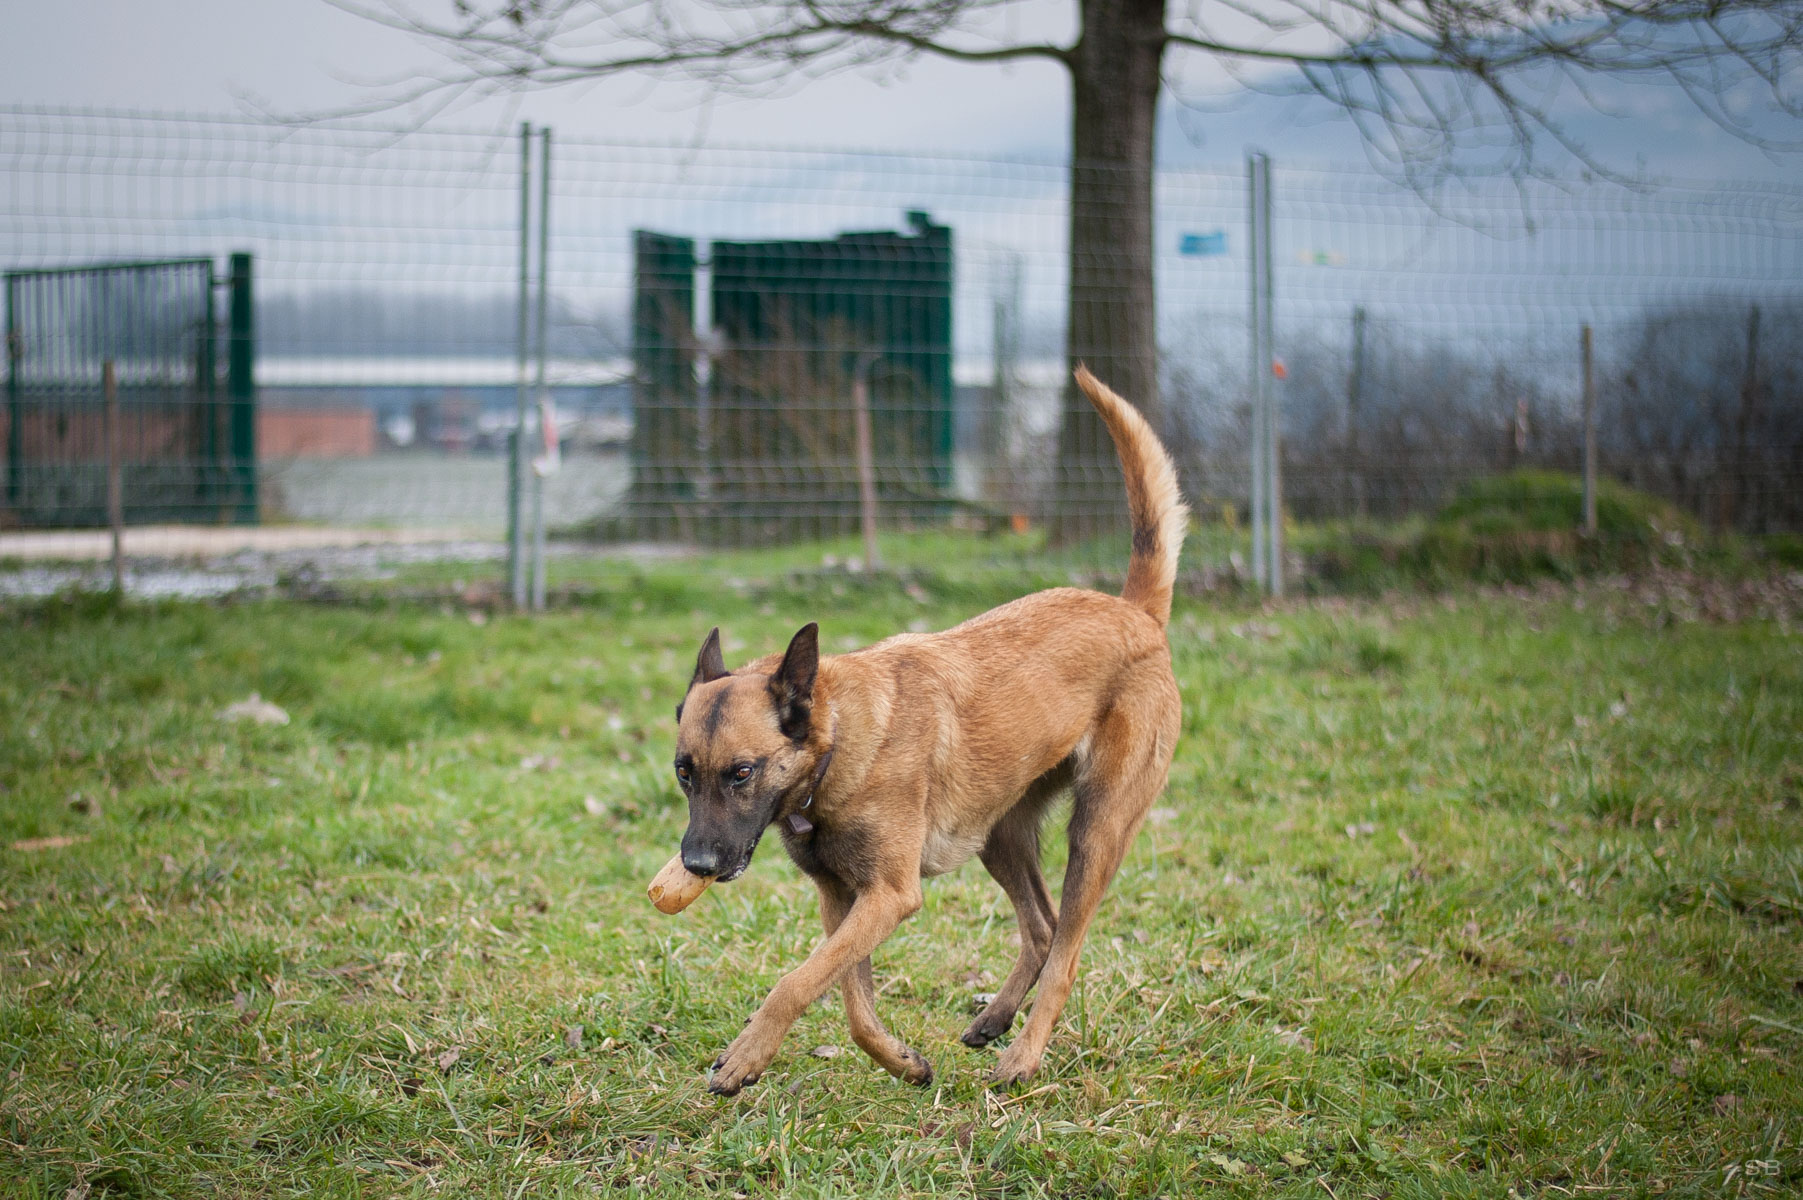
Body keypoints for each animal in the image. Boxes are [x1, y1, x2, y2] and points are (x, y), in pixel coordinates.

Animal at [670, 367, 1189, 1095]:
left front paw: (745, 1056)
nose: (695, 865)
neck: (838, 744)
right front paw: (902, 1061)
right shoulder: (844, 899)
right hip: (998, 836)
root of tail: (1135, 613)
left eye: (740, 773)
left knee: (1065, 952)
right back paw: (994, 1019)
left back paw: (1022, 1057)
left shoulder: (888, 896)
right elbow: (850, 1002)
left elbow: (796, 983)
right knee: (1042, 928)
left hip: (1097, 831)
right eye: (683, 774)